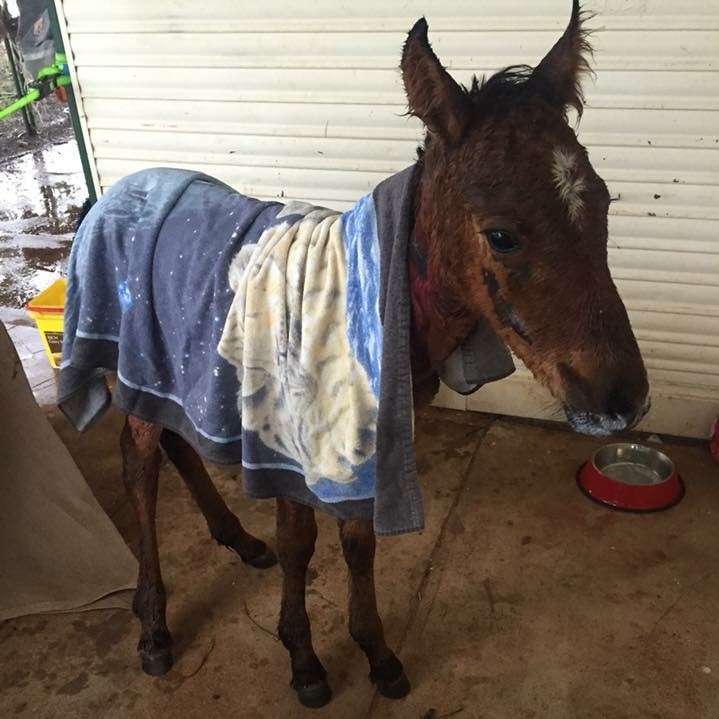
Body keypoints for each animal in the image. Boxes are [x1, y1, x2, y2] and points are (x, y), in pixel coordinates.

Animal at [59, 0, 648, 708]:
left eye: (605, 202)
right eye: (502, 235)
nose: (621, 399)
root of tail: (111, 195)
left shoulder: (372, 429)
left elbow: (358, 540)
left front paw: (376, 653)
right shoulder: (286, 439)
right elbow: (300, 542)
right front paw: (304, 659)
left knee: (177, 440)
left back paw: (236, 539)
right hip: (135, 359)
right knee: (139, 464)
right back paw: (153, 624)